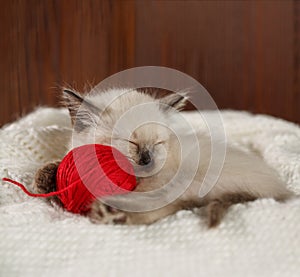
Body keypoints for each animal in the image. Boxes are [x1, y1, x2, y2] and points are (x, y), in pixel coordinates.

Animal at [33, 87, 292, 226]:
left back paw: (109, 214)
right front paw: (46, 177)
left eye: (157, 143)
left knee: (162, 207)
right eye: (131, 143)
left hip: (187, 181)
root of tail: (283, 192)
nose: (147, 161)